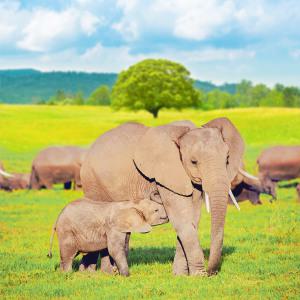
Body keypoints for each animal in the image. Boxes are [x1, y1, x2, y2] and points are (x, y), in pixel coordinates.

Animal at [80, 118, 253, 276]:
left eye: (227, 159)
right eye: (193, 161)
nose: (212, 272)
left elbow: (192, 219)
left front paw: (180, 275)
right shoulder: (166, 174)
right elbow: (182, 219)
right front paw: (198, 276)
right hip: (93, 183)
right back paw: (97, 272)